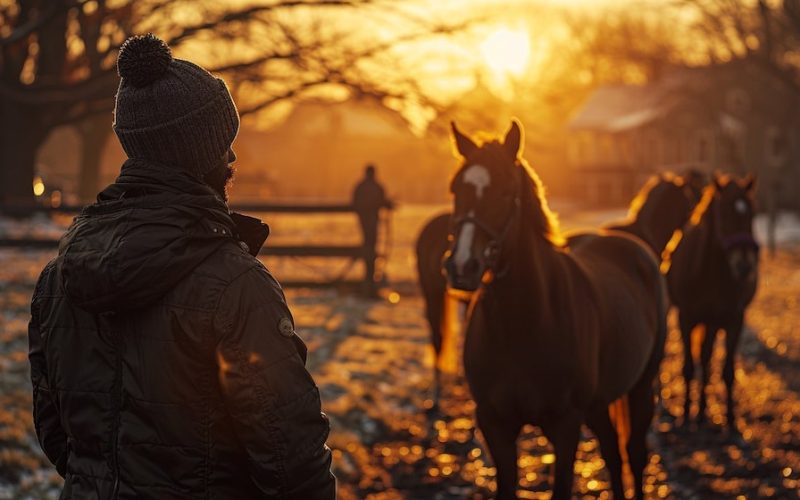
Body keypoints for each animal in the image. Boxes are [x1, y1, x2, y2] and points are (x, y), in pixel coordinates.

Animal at [446, 119, 664, 498]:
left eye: (506, 191)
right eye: (456, 189)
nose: (462, 266)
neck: (525, 324)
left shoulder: (565, 425)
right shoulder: (494, 424)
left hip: (640, 387)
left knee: (634, 454)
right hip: (598, 405)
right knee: (612, 453)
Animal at [664, 174, 760, 432]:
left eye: (751, 214)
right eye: (724, 213)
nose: (744, 266)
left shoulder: (733, 319)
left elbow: (727, 371)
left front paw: (731, 420)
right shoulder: (686, 317)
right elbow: (689, 367)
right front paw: (686, 414)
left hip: (714, 322)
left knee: (707, 360)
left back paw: (704, 411)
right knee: (702, 361)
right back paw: (697, 412)